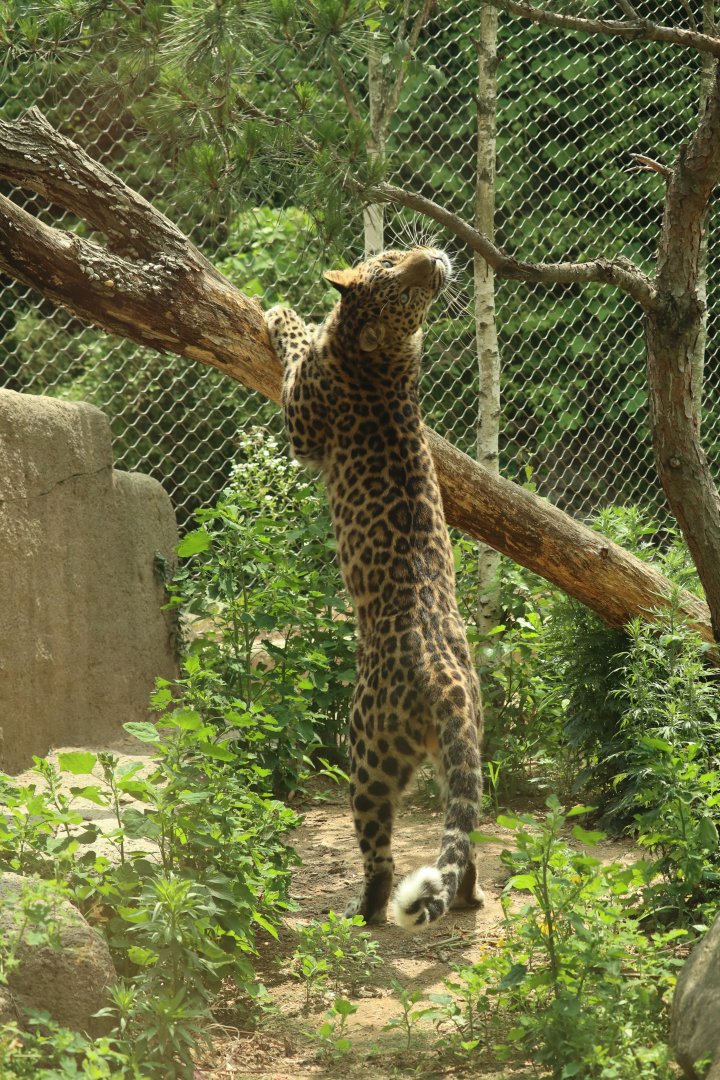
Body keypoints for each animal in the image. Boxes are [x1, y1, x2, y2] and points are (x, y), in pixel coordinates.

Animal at [265, 246, 484, 930]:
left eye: (410, 292)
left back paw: (361, 912)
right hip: (461, 752)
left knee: (380, 855)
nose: (434, 258)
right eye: (393, 267)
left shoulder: (302, 423)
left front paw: (281, 311)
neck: (381, 356)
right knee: (466, 839)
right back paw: (470, 896)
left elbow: (296, 344)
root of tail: (448, 685)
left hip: (365, 755)